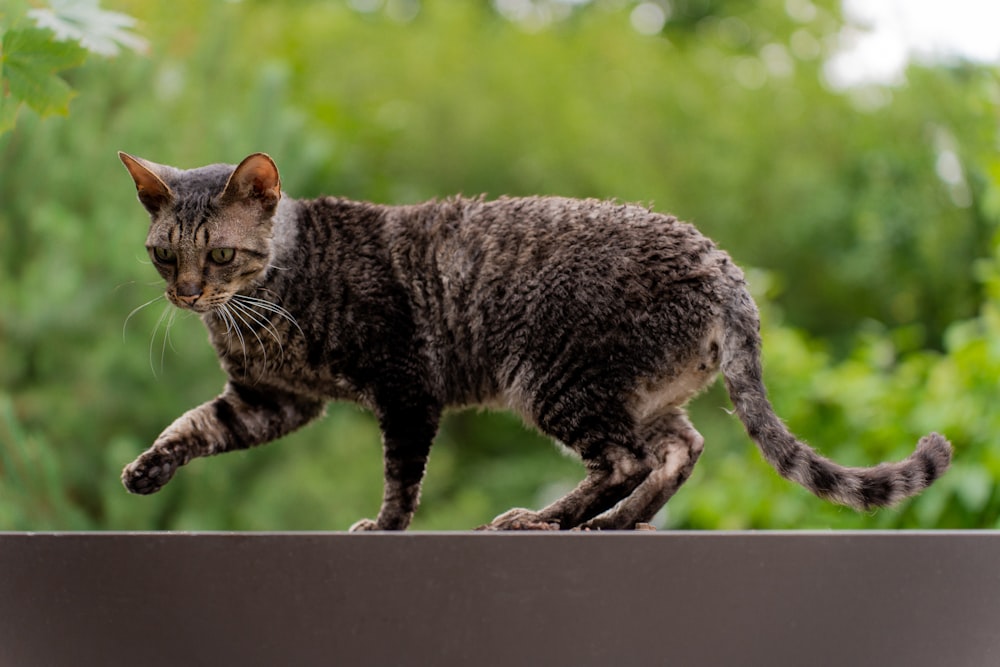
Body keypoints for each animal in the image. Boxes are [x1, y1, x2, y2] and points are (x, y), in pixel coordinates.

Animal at [117, 153, 952, 532]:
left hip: (553, 380)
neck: (256, 309)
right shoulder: (270, 399)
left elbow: (401, 479)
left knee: (626, 458)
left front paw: (384, 525)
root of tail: (721, 263)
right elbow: (193, 424)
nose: (185, 293)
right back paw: (612, 522)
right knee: (679, 449)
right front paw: (146, 469)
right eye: (164, 255)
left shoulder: (405, 387)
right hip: (640, 391)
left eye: (219, 255)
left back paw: (548, 518)